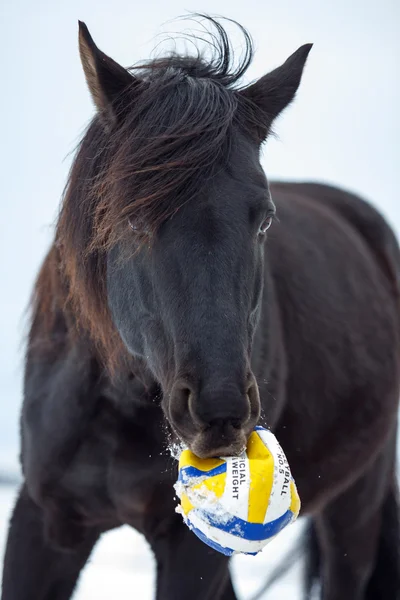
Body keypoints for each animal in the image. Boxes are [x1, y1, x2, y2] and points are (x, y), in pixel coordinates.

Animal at [1, 15, 398, 600]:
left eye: (264, 218)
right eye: (133, 218)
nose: (221, 410)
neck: (117, 401)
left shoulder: (191, 550)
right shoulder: (43, 522)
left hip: (358, 500)